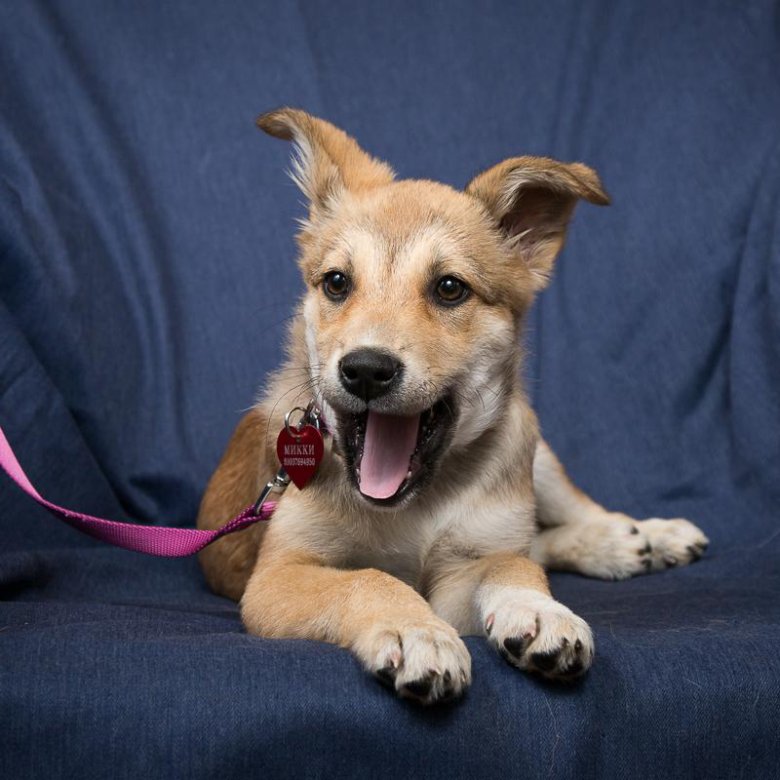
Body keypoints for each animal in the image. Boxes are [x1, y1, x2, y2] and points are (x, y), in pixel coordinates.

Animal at [198, 111, 708, 708]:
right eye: (336, 283)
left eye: (449, 288)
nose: (365, 369)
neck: (413, 506)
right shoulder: (279, 576)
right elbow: (369, 579)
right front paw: (416, 631)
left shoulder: (463, 571)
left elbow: (511, 563)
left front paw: (539, 610)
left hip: (534, 456)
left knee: (560, 523)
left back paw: (640, 536)